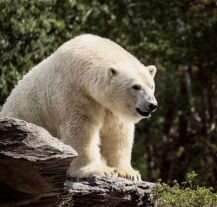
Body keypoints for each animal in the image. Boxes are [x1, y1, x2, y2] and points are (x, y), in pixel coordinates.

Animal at [0, 34, 157, 180]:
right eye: (136, 86)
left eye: (151, 86)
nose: (152, 105)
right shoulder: (74, 91)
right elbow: (81, 129)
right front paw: (99, 170)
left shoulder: (110, 107)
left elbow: (118, 133)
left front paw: (129, 173)